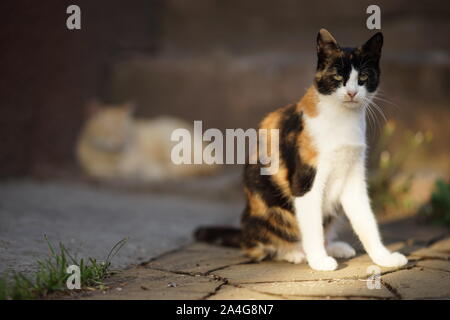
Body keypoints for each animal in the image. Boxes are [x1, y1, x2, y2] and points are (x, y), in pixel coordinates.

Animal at [76, 100, 216, 181]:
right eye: (108, 129)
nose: (120, 143)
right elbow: (98, 169)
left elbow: (124, 168)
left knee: (186, 166)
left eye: (124, 130)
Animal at [195, 29, 410, 270]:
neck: (342, 119)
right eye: (338, 77)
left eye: (363, 77)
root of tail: (243, 233)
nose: (352, 93)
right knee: (262, 247)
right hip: (267, 212)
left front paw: (384, 257)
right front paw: (319, 261)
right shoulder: (305, 180)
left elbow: (366, 219)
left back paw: (334, 247)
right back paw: (296, 253)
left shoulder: (354, 177)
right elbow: (312, 225)